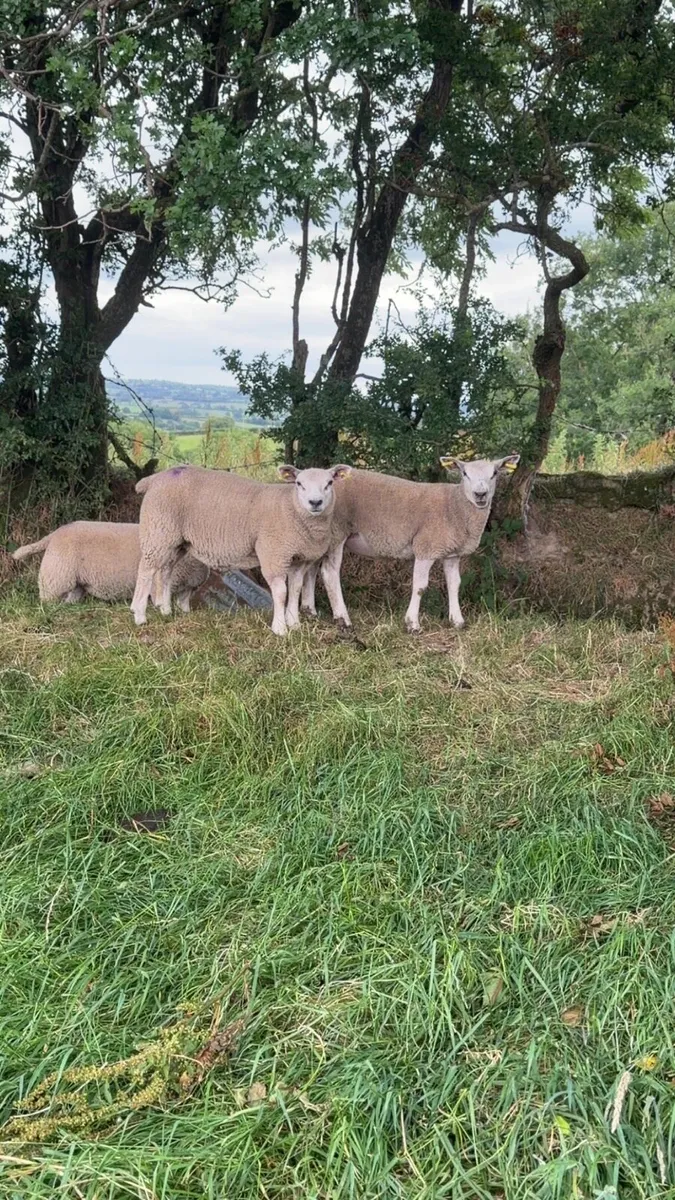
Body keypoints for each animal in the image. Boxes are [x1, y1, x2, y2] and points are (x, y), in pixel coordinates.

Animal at [12, 521, 208, 609]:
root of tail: (54, 534)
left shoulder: (188, 587)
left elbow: (184, 604)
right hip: (56, 577)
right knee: (47, 598)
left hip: (75, 582)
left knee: (73, 596)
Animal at [130, 462, 351, 636]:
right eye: (299, 484)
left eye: (329, 483)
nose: (315, 502)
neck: (292, 508)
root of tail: (154, 479)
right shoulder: (273, 553)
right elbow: (281, 592)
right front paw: (280, 628)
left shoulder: (300, 558)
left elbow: (295, 589)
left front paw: (294, 623)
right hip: (158, 530)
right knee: (146, 570)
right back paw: (139, 615)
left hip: (177, 541)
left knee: (166, 569)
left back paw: (166, 610)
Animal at [301, 455, 520, 632]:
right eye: (465, 473)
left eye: (494, 474)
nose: (480, 494)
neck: (455, 506)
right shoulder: (425, 547)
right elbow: (420, 586)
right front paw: (412, 624)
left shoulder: (452, 553)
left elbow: (454, 584)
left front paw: (457, 621)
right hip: (337, 532)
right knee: (329, 573)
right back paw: (343, 619)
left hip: (323, 536)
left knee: (311, 569)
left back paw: (309, 611)